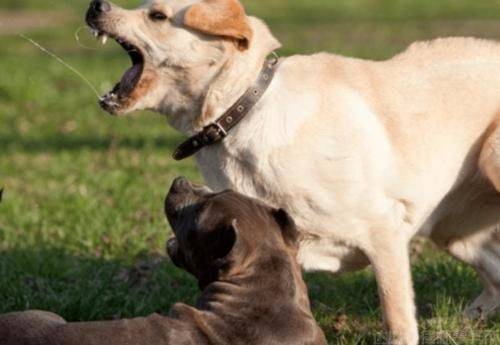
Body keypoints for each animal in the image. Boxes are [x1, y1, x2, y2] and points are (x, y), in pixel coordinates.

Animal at [86, 1, 500, 342]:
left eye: (156, 15)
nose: (96, 5)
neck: (242, 110)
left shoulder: (384, 230)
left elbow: (396, 317)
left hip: (488, 166)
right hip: (451, 230)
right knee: (496, 274)